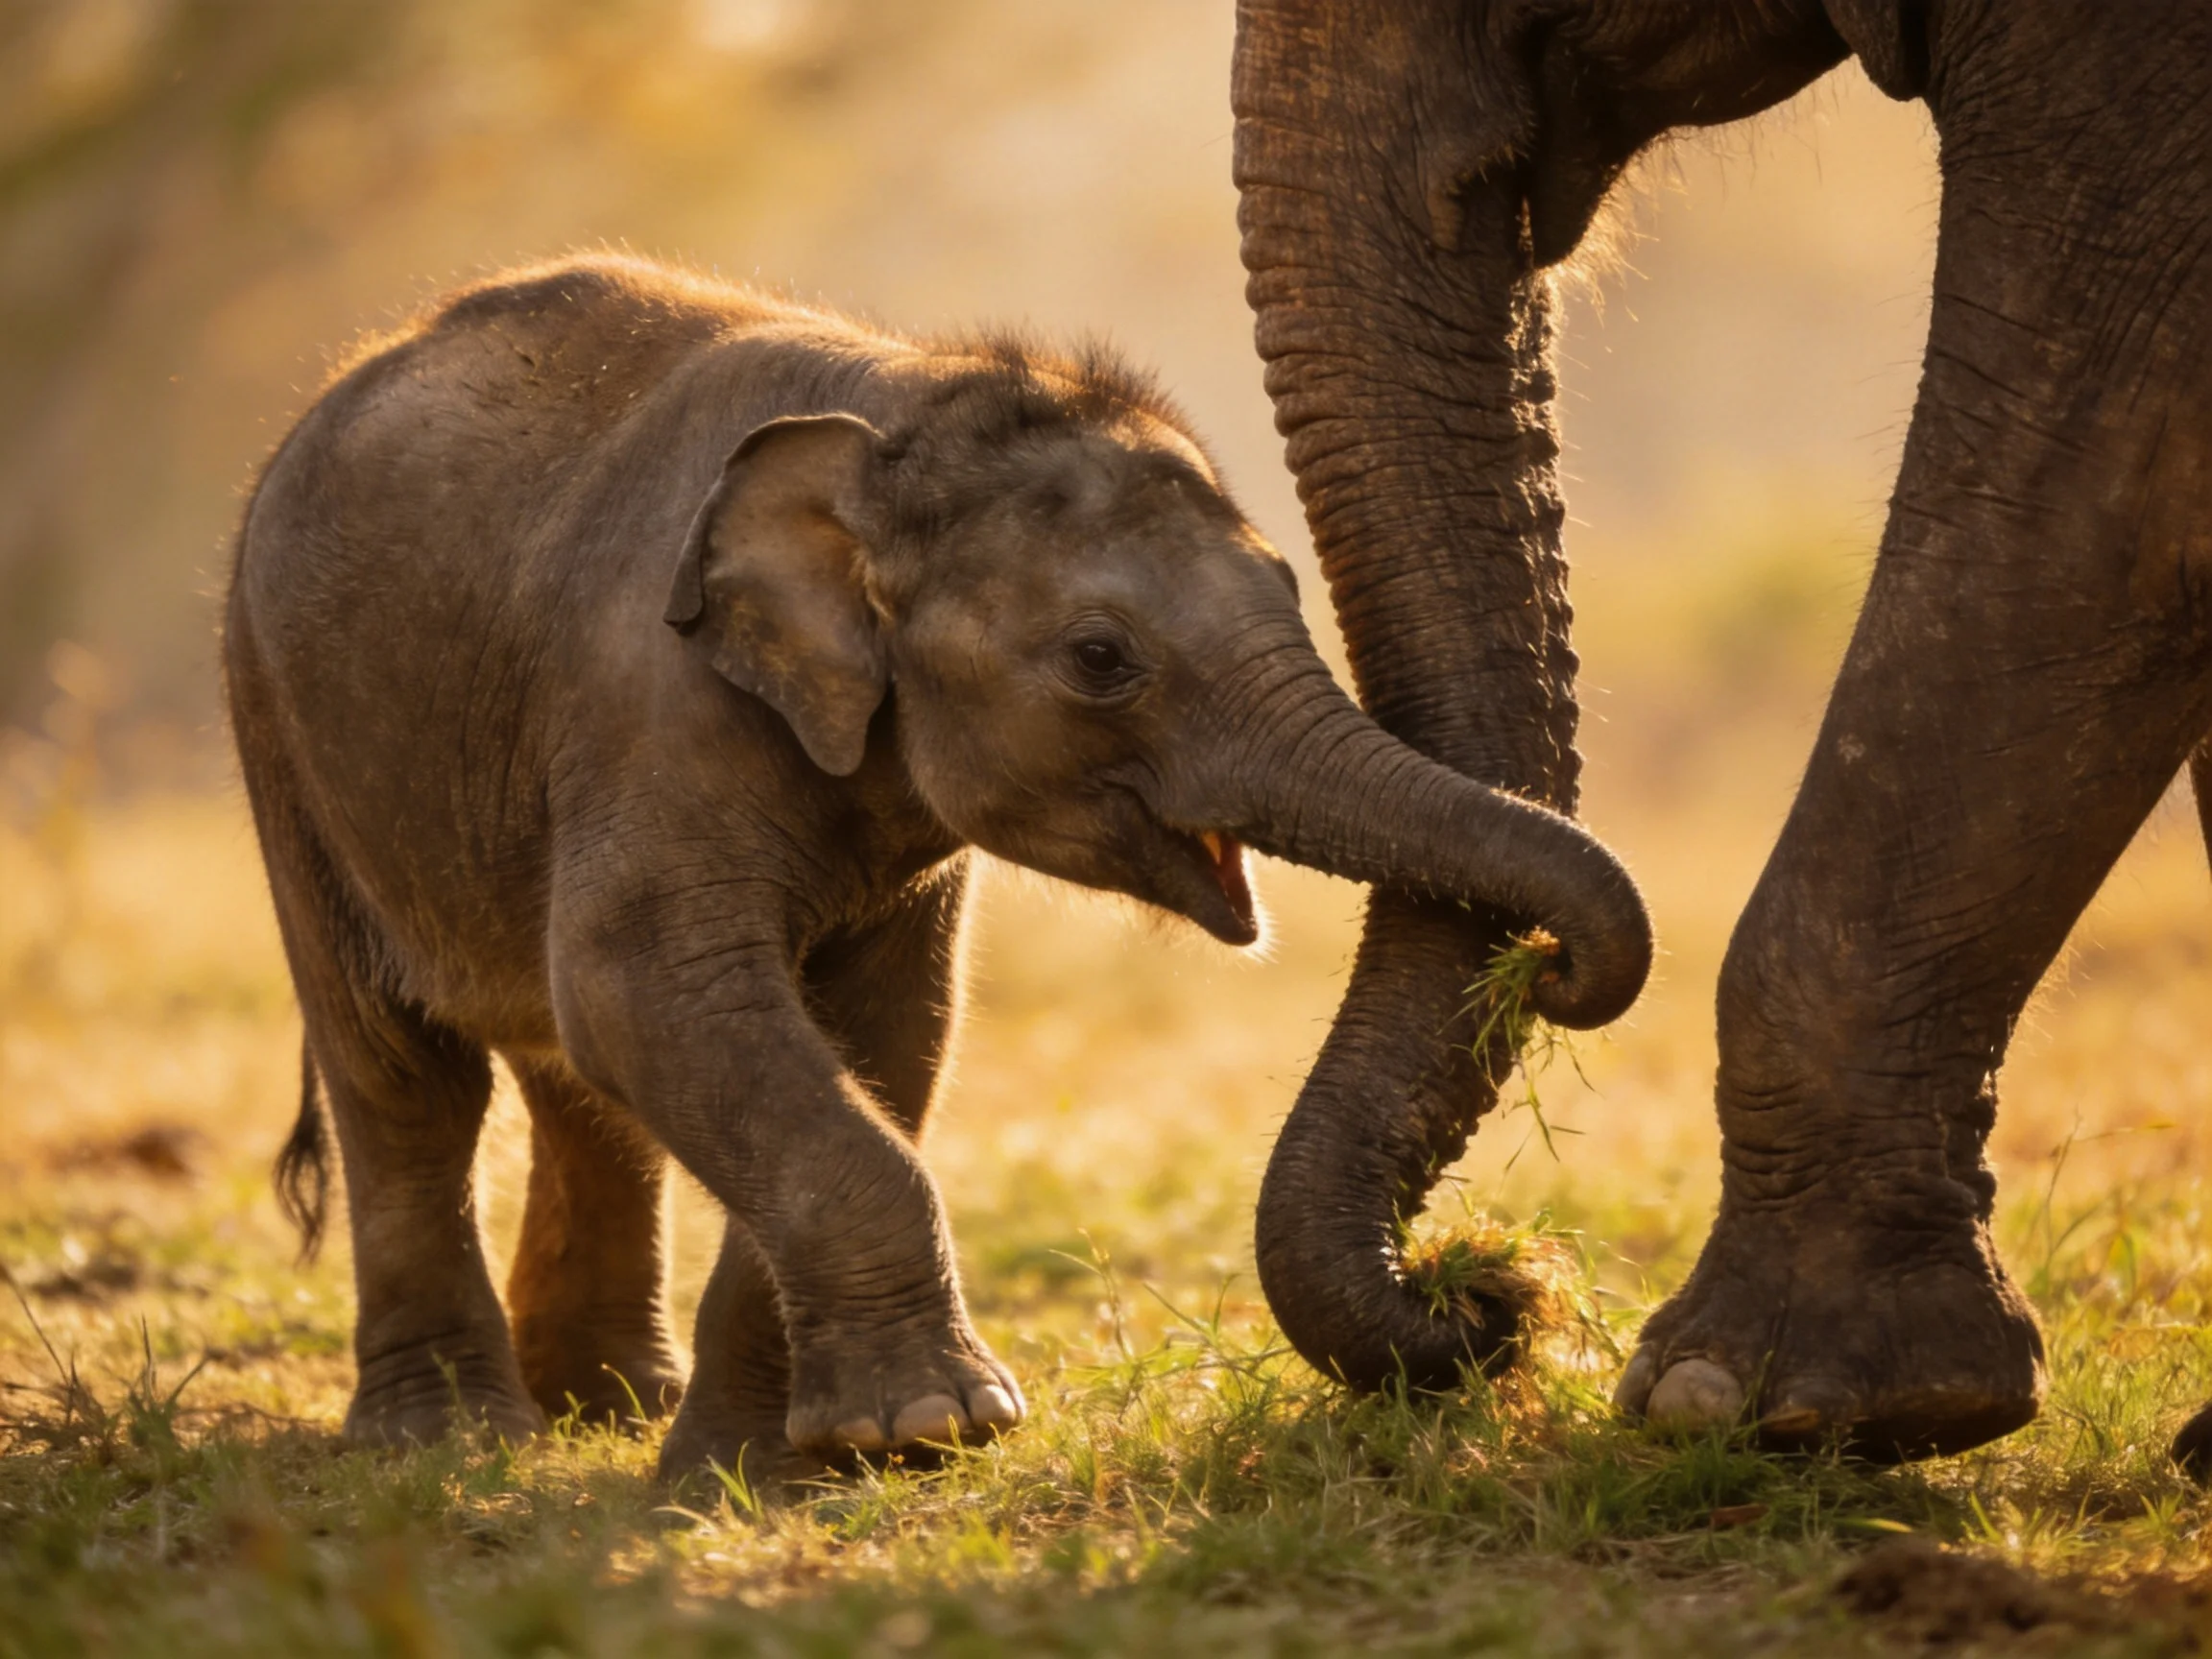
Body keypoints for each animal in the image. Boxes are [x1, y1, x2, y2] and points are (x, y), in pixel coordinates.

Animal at [224, 253, 1651, 1478]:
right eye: (1100, 659)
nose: (1486, 1292)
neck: (909, 404)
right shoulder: (649, 701)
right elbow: (651, 991)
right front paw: (936, 1427)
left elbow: (881, 1031)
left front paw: (779, 1467)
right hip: (280, 725)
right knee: (403, 1069)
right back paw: (451, 1439)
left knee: (568, 1076)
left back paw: (613, 1405)